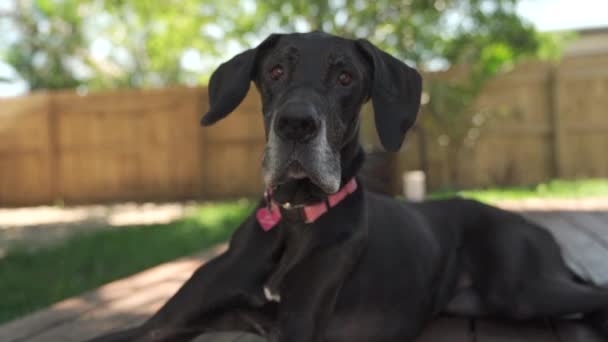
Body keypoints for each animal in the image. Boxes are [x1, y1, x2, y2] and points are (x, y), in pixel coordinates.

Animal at [90, 30, 608, 340]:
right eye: (275, 71)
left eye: (345, 77)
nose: (296, 125)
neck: (294, 216)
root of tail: (533, 226)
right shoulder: (165, 323)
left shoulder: (298, 327)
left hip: (522, 289)